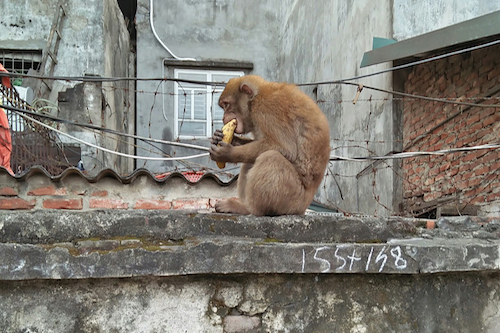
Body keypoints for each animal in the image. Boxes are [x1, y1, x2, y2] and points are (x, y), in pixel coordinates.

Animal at [209, 74, 330, 215]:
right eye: (223, 106)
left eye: (227, 105)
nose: (223, 117)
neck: (256, 98)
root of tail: (304, 207)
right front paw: (225, 139)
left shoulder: (267, 108)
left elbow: (285, 148)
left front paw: (226, 153)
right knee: (251, 161)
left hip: (292, 200)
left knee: (271, 157)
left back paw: (247, 208)